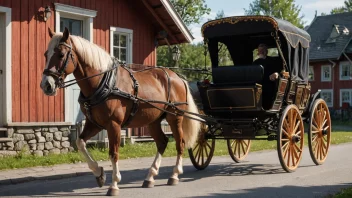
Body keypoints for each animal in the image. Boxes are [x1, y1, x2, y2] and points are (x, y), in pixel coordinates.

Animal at [40, 27, 199, 196]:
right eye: (46, 54)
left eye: (61, 54)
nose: (46, 85)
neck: (103, 83)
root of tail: (178, 78)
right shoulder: (94, 123)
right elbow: (80, 143)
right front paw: (99, 173)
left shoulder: (113, 124)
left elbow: (113, 153)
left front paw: (114, 184)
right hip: (153, 121)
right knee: (162, 142)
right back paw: (150, 176)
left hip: (175, 117)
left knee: (180, 143)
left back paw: (174, 174)